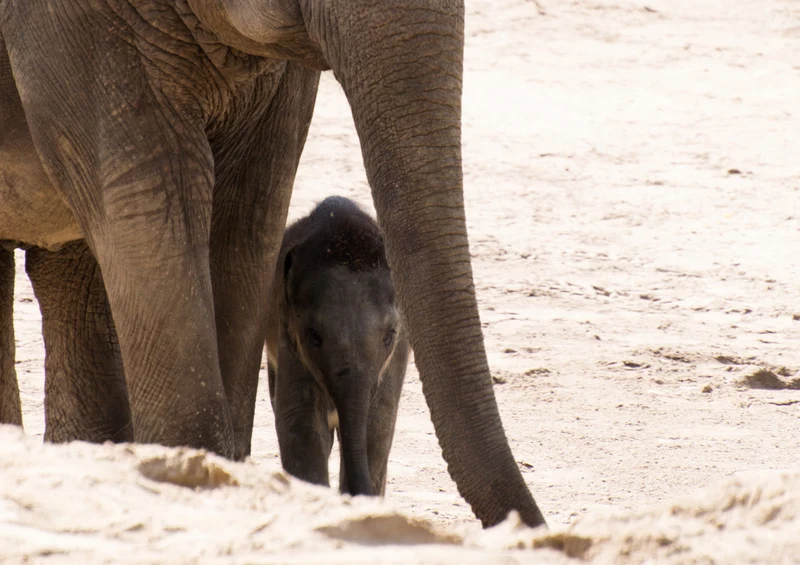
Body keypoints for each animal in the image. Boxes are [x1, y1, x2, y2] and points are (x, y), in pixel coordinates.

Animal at [266, 196, 409, 497]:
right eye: (313, 335)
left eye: (389, 336)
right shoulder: (287, 332)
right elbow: (300, 420)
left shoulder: (400, 349)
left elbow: (378, 422)